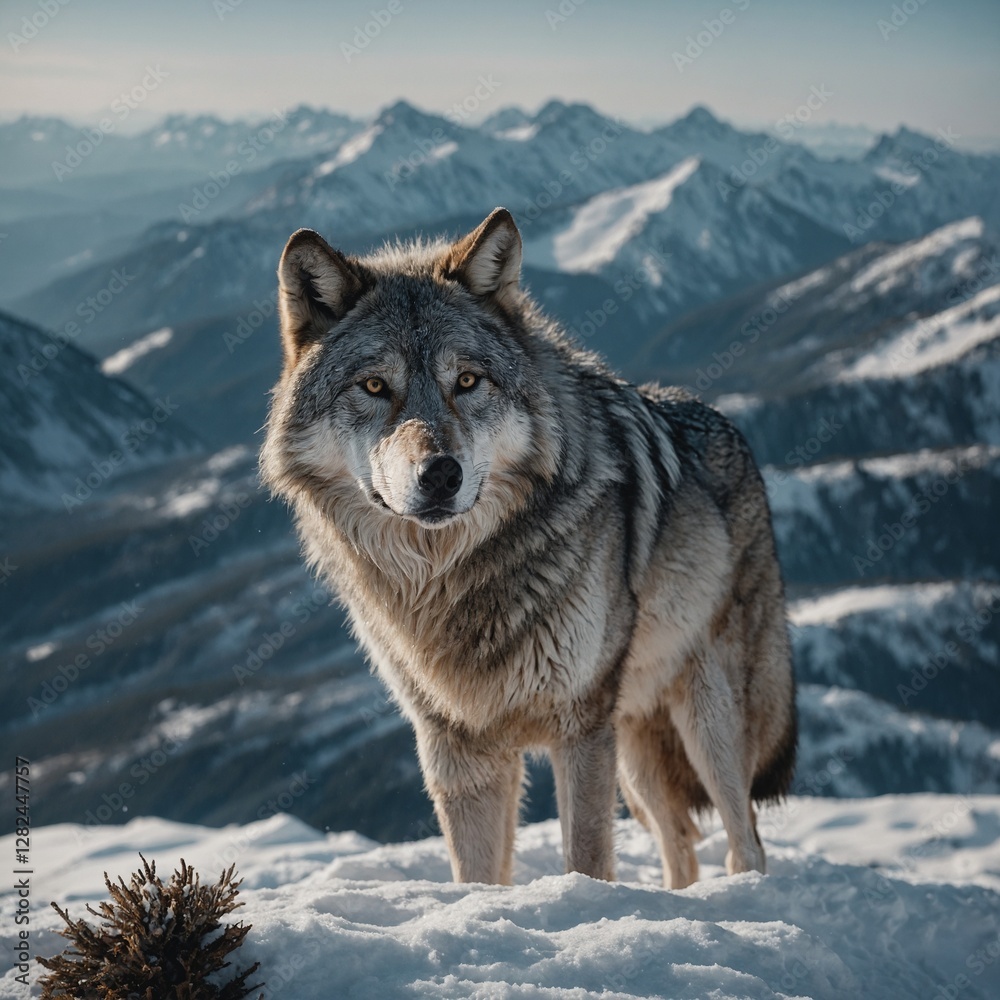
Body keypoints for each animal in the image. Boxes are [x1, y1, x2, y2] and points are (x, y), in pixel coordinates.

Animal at [260, 207, 796, 888]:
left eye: (467, 381)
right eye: (375, 386)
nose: (440, 473)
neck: (450, 580)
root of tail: (732, 430)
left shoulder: (580, 725)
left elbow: (587, 860)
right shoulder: (457, 747)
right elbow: (477, 878)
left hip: (706, 721)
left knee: (743, 839)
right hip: (636, 751)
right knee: (680, 841)